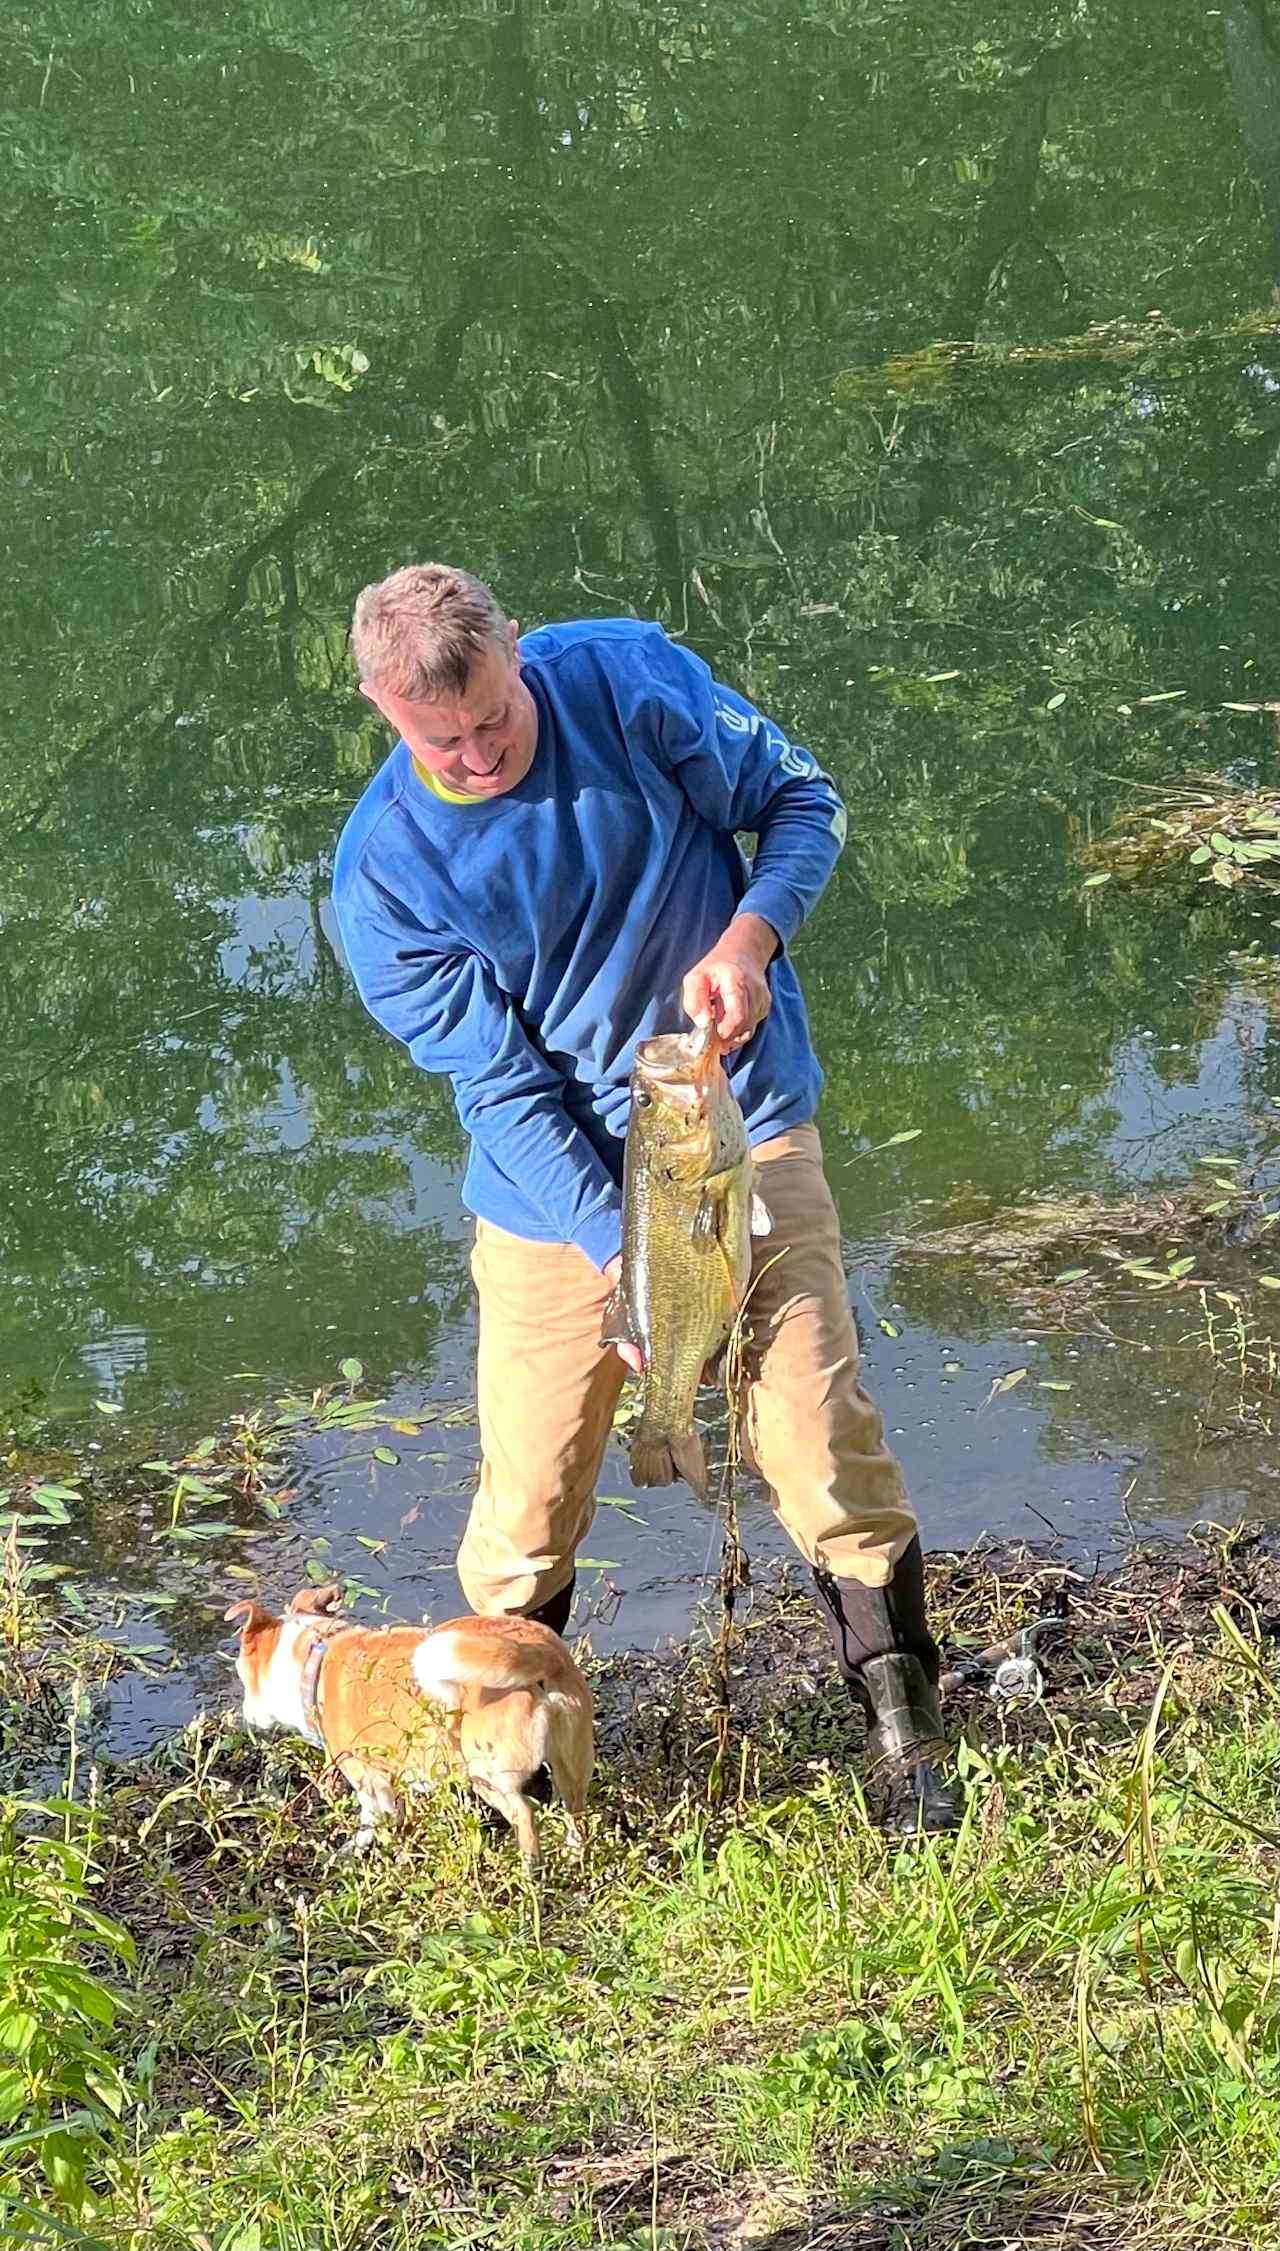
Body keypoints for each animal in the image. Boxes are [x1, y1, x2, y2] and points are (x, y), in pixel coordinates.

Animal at [224, 1584, 593, 1863]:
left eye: (242, 1675)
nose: (246, 1717)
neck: (316, 1658)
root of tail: (542, 1654)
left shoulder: (368, 1780)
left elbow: (373, 1819)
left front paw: (353, 1850)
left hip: (487, 1774)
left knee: (524, 1816)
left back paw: (529, 1873)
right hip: (572, 1765)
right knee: (576, 1813)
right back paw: (574, 1855)